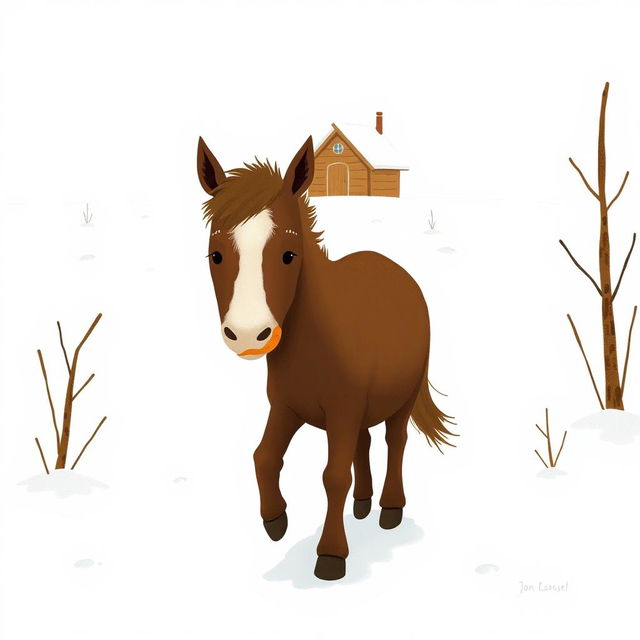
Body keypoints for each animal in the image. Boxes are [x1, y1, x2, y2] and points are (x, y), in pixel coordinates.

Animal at [196, 135, 454, 580]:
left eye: (288, 255)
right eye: (216, 254)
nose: (248, 335)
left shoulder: (342, 410)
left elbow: (334, 476)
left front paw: (331, 555)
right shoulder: (287, 407)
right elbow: (264, 457)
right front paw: (275, 520)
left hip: (400, 400)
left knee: (395, 442)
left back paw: (389, 508)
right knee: (364, 443)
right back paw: (363, 505)